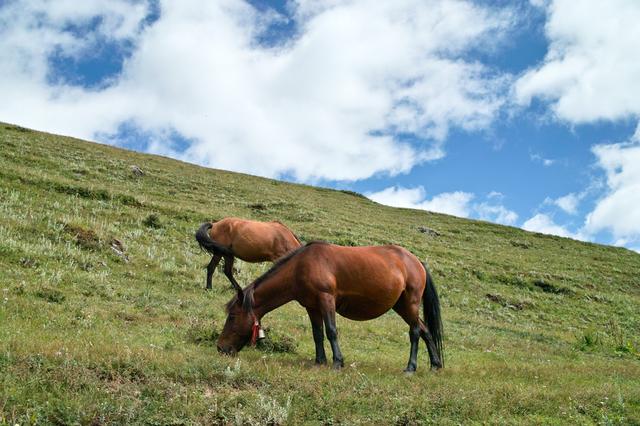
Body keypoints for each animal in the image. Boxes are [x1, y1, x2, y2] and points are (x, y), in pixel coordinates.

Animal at [218, 241, 442, 372]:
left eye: (232, 316)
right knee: (425, 330)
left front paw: (337, 363)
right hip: (401, 306)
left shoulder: (326, 300)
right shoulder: (312, 307)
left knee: (415, 332)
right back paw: (435, 365)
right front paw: (320, 361)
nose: (221, 348)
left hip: (410, 303)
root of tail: (417, 262)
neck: (300, 266)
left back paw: (411, 367)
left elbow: (331, 331)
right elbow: (317, 334)